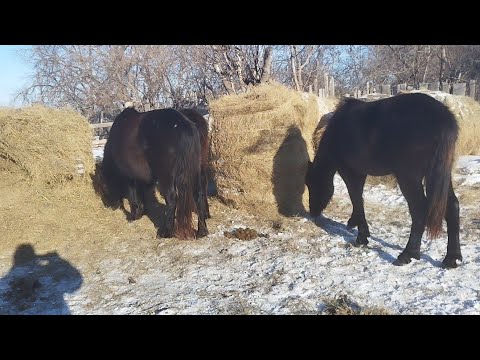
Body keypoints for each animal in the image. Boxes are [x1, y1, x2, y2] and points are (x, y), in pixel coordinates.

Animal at [100, 107, 207, 239]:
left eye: (105, 184)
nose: (110, 205)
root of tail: (184, 125)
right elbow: (143, 193)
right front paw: (143, 211)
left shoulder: (128, 176)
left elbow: (132, 194)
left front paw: (134, 215)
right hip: (196, 170)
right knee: (198, 195)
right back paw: (202, 231)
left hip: (166, 176)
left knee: (172, 199)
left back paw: (166, 232)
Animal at [308, 93, 462, 268]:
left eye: (311, 183)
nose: (313, 212)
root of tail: (443, 117)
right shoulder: (360, 173)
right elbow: (358, 199)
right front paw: (354, 224)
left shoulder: (350, 172)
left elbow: (356, 198)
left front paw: (361, 237)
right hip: (440, 174)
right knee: (452, 206)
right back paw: (452, 258)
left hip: (409, 177)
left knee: (419, 209)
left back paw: (408, 254)